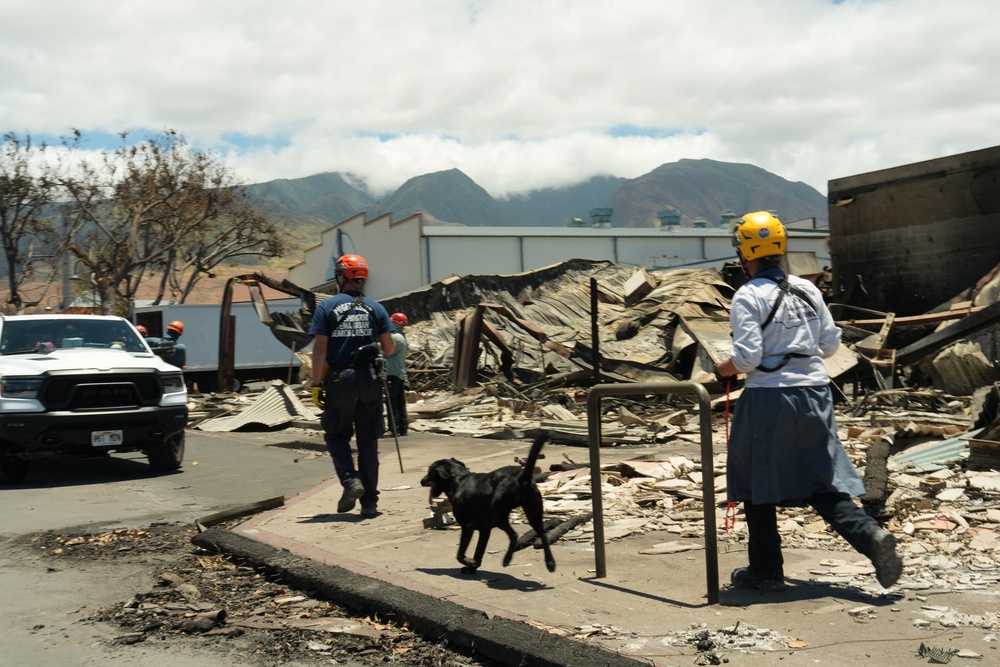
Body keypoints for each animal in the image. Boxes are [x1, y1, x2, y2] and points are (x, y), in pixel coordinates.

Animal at [420, 434, 560, 576]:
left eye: (429, 471)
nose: (421, 481)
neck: (458, 480)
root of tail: (522, 478)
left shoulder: (467, 526)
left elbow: (460, 554)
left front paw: (469, 562)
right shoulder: (485, 530)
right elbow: (478, 552)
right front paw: (472, 567)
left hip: (498, 514)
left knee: (514, 535)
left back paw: (507, 560)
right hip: (533, 513)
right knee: (543, 534)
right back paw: (550, 563)